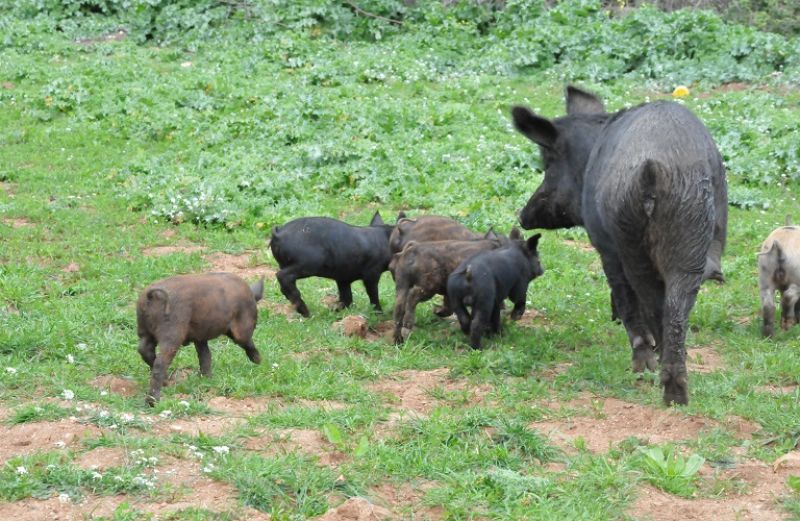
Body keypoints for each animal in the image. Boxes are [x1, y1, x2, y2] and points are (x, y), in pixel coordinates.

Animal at [512, 87, 724, 406]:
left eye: (548, 162)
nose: (522, 216)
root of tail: (655, 167)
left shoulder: (604, 246)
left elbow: (622, 295)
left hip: (629, 232)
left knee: (649, 298)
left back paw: (652, 370)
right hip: (692, 227)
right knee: (678, 304)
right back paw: (677, 395)